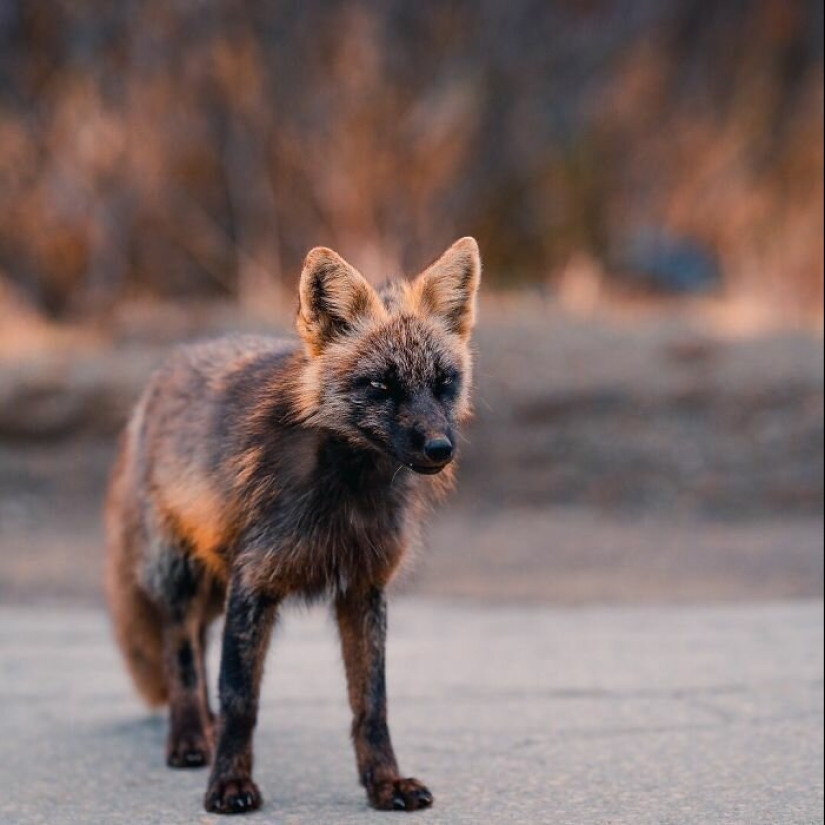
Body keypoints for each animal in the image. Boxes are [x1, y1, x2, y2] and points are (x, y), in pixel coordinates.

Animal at [107, 235, 486, 816]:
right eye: (381, 386)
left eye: (444, 383)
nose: (440, 448)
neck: (346, 495)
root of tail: (166, 369)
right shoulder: (254, 583)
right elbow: (240, 699)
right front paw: (229, 784)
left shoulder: (363, 588)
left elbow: (371, 704)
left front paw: (384, 783)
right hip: (182, 578)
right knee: (182, 655)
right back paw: (190, 737)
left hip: (213, 586)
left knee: (197, 646)